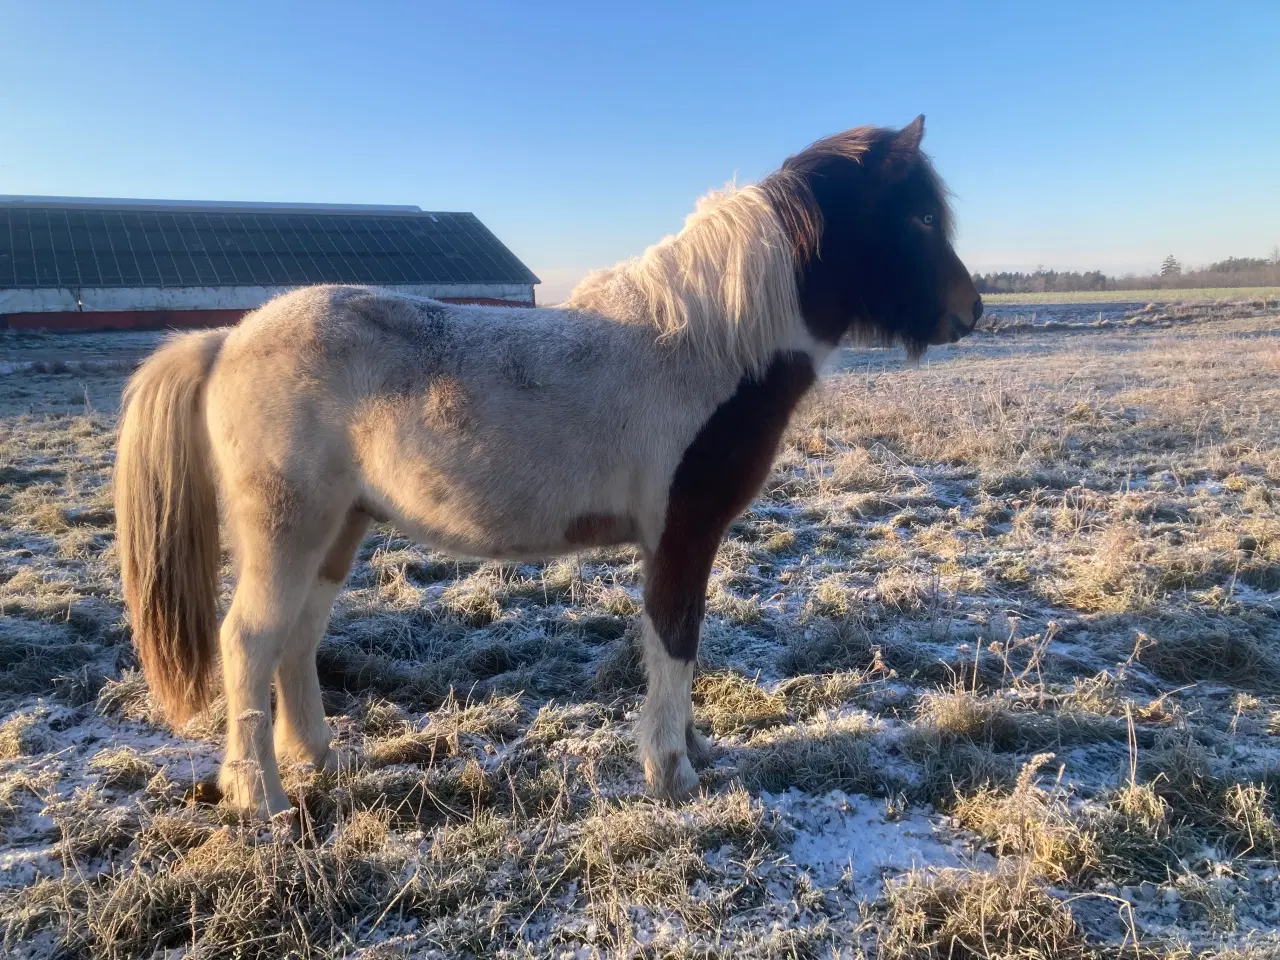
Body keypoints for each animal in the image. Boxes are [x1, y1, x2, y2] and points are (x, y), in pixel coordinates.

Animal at [115, 116, 983, 814]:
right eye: (917, 215)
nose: (971, 312)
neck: (706, 348)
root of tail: (226, 339)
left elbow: (681, 639)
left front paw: (694, 750)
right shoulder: (683, 534)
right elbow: (676, 638)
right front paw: (673, 773)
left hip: (337, 532)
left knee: (297, 640)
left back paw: (322, 759)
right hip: (287, 532)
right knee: (249, 642)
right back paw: (258, 797)